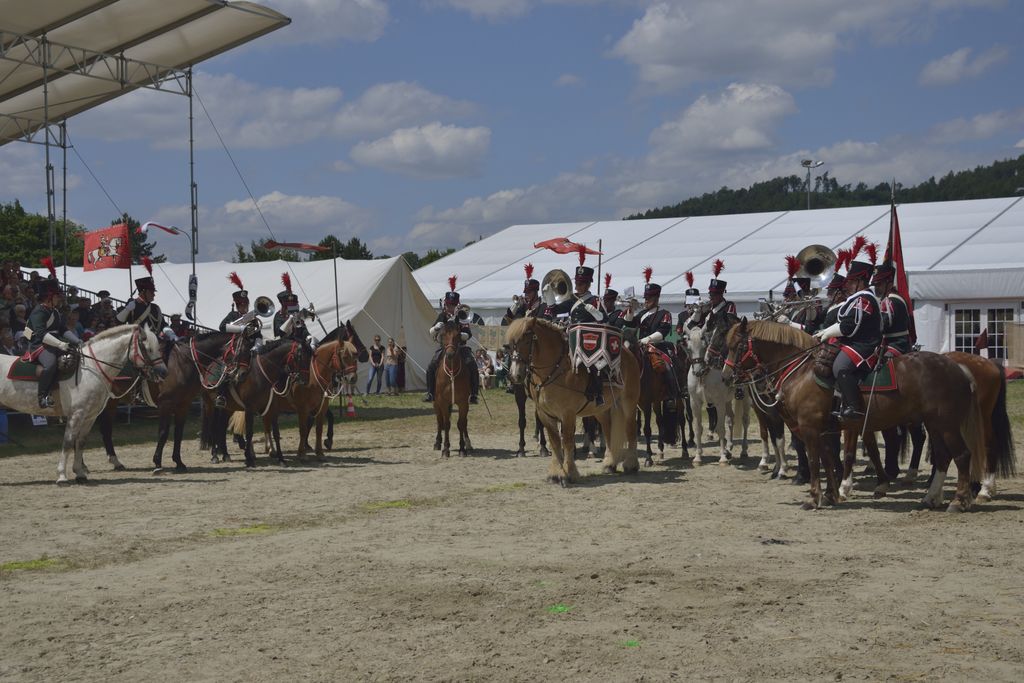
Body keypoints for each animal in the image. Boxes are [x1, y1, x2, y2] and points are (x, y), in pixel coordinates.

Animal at [0, 325, 165, 481]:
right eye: (148, 348)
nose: (163, 372)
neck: (91, 368)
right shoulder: (76, 414)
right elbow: (68, 442)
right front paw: (62, 475)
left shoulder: (89, 416)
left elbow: (81, 442)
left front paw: (79, 473)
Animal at [436, 319, 475, 456]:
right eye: (442, 335)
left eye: (458, 335)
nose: (450, 354)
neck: (452, 372)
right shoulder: (442, 402)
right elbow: (446, 424)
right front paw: (445, 449)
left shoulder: (463, 403)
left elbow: (461, 424)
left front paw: (462, 448)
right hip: (435, 403)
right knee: (439, 421)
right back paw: (437, 443)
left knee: (464, 423)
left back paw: (468, 444)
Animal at [505, 319, 638, 485]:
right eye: (510, 345)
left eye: (528, 340)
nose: (515, 375)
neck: (554, 370)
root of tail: (628, 354)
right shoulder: (545, 414)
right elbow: (555, 441)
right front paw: (555, 473)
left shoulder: (567, 414)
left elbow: (567, 440)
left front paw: (569, 473)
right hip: (601, 409)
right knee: (608, 429)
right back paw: (610, 463)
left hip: (628, 402)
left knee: (630, 429)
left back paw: (631, 464)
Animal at [684, 325, 749, 464]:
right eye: (689, 348)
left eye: (704, 346)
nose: (698, 371)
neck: (704, 376)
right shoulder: (695, 403)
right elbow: (698, 428)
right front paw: (698, 457)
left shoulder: (719, 403)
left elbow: (720, 428)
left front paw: (723, 458)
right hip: (728, 401)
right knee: (731, 419)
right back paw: (729, 448)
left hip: (745, 398)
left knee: (745, 420)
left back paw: (743, 451)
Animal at [720, 321, 983, 511]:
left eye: (737, 346)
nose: (725, 377)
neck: (802, 371)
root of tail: (958, 368)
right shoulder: (824, 431)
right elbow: (828, 460)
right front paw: (829, 495)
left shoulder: (810, 429)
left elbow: (815, 462)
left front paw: (814, 498)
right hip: (935, 425)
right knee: (943, 457)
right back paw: (931, 498)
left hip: (946, 426)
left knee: (962, 456)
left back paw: (959, 501)